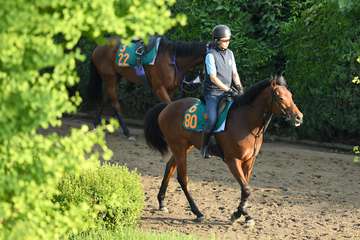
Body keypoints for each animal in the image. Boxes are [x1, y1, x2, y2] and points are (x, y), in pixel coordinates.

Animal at [143, 75, 304, 225]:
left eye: (291, 95)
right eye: (281, 97)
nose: (299, 117)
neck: (246, 122)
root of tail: (167, 107)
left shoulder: (249, 161)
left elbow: (245, 189)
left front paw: (244, 214)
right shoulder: (232, 160)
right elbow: (246, 189)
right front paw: (238, 215)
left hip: (184, 147)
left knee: (169, 167)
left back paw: (162, 202)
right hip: (179, 147)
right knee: (183, 179)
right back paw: (197, 212)